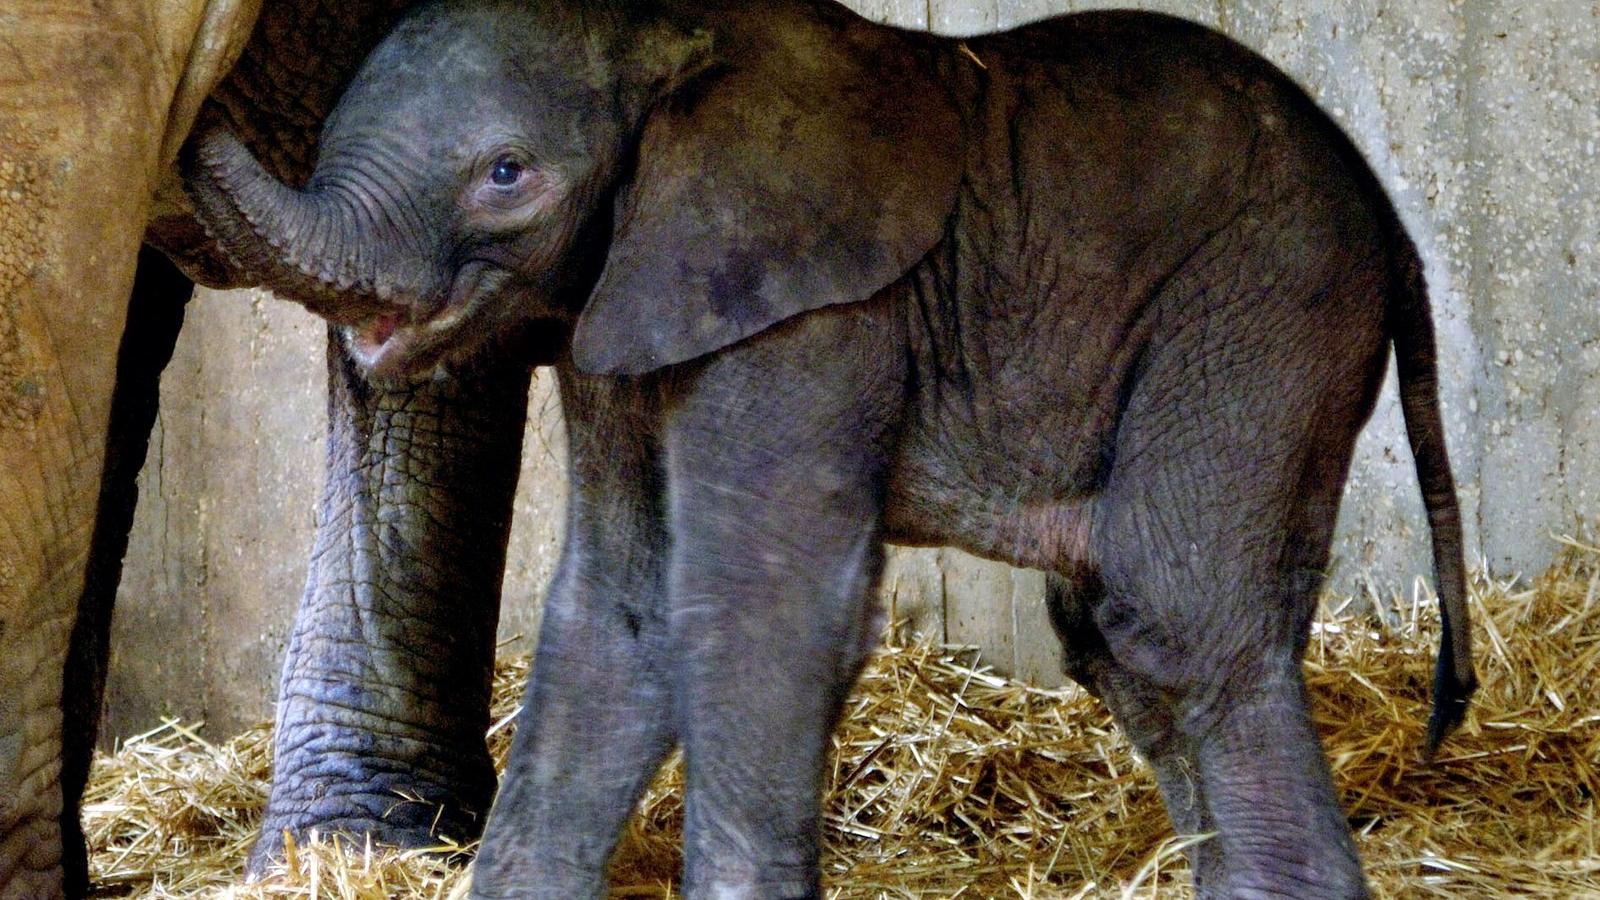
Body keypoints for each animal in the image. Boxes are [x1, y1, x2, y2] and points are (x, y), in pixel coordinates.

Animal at [184, 0, 1472, 890]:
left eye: (508, 176)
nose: (188, 107)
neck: (670, 37)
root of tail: (1393, 220)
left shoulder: (820, 318)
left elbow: (758, 613)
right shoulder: (631, 301)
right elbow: (618, 611)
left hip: (1264, 306)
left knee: (1168, 621)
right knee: (1130, 640)